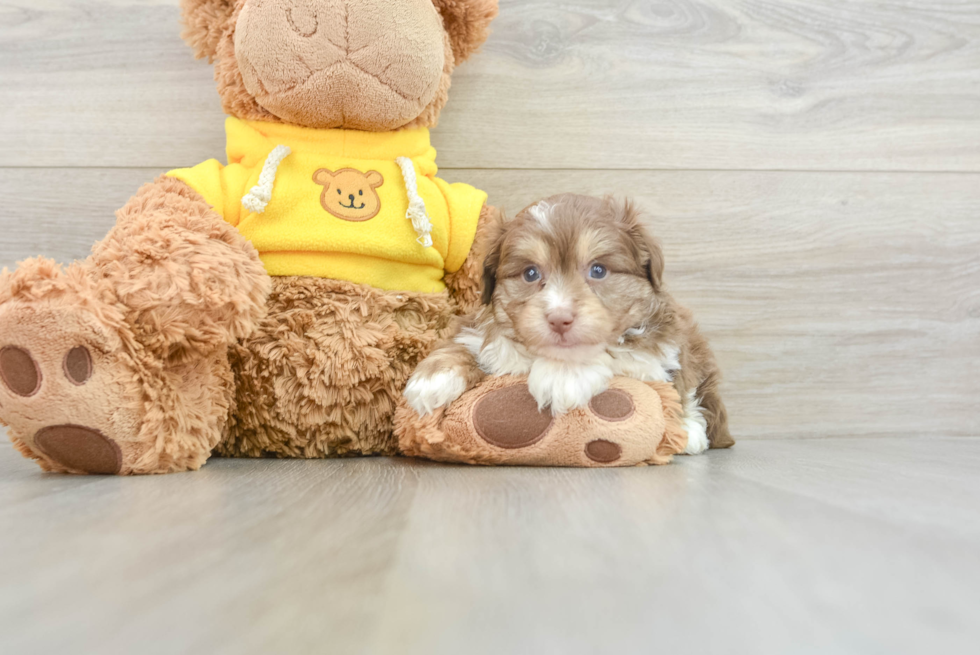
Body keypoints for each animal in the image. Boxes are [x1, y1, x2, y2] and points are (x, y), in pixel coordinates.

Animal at [402, 192, 732, 454]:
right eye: (530, 273)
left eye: (598, 270)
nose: (559, 319)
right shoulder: (479, 321)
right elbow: (468, 341)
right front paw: (432, 379)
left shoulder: (655, 349)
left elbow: (611, 349)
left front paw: (563, 375)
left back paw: (689, 430)